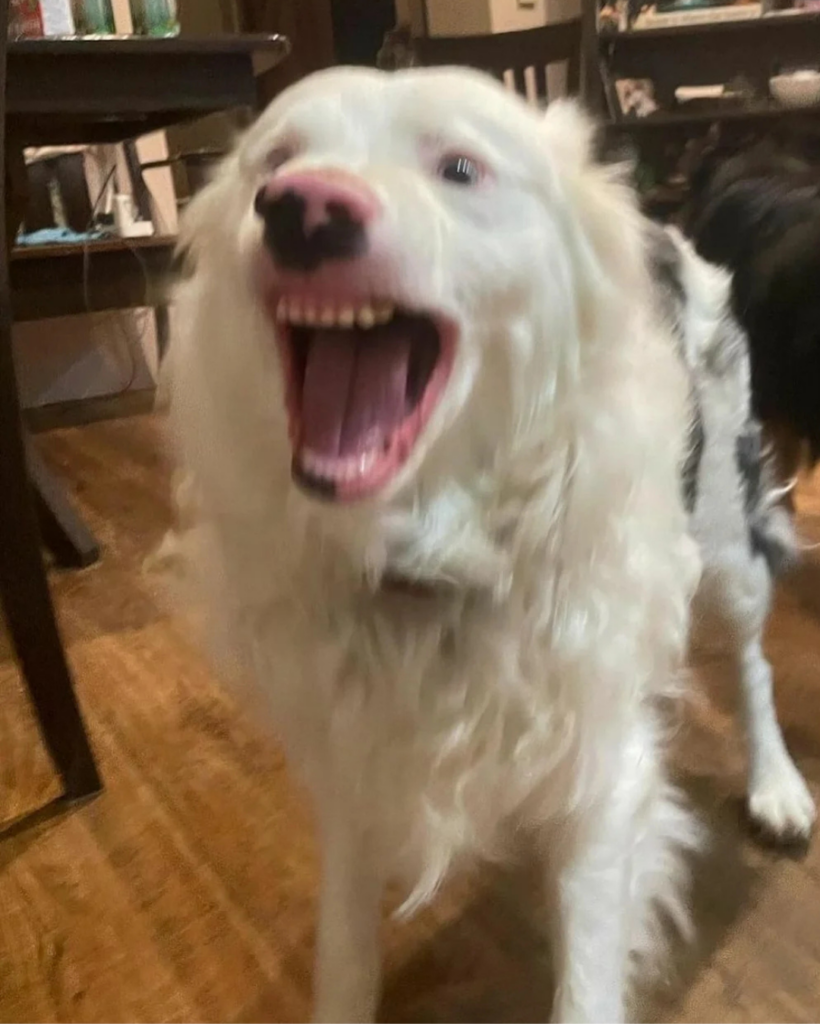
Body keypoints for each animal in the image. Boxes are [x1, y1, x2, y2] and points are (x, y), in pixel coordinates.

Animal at [161, 66, 753, 1024]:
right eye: (275, 162)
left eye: (461, 169)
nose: (304, 210)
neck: (427, 565)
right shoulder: (353, 778)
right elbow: (344, 958)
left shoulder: (604, 779)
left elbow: (588, 977)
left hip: (734, 543)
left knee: (753, 662)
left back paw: (779, 788)